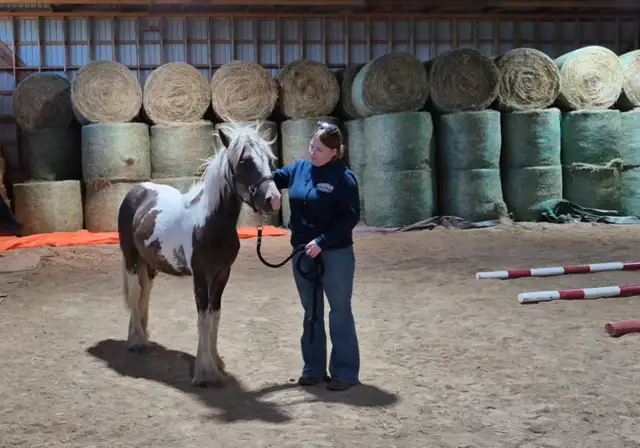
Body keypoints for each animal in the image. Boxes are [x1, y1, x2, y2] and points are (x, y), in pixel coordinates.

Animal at [116, 122, 281, 387]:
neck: (211, 223)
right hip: (131, 258)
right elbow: (203, 319)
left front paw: (217, 362)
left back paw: (141, 335)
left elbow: (215, 316)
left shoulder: (222, 275)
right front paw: (205, 372)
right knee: (134, 294)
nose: (273, 200)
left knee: (144, 295)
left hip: (149, 264)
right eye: (245, 160)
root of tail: (136, 190)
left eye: (269, 159)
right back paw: (137, 342)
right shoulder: (201, 277)